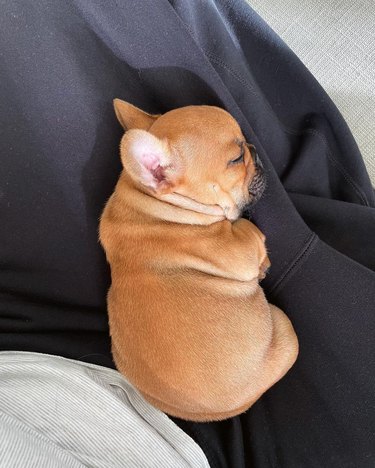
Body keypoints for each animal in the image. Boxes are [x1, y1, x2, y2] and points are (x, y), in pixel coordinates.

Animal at [100, 100, 300, 422]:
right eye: (236, 159)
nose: (254, 149)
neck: (156, 204)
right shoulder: (240, 246)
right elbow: (252, 235)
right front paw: (262, 263)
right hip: (284, 327)